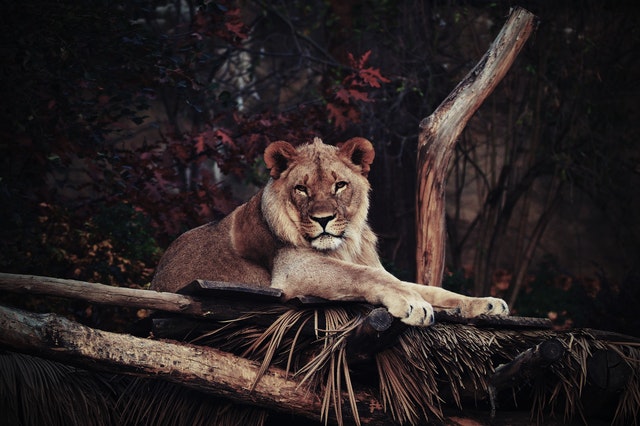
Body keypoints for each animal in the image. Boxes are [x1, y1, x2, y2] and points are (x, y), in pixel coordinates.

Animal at [151, 137, 508, 326]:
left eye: (340, 185)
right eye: (302, 189)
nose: (323, 219)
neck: (344, 245)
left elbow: (431, 289)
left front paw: (485, 303)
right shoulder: (293, 270)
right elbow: (366, 276)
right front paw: (411, 303)